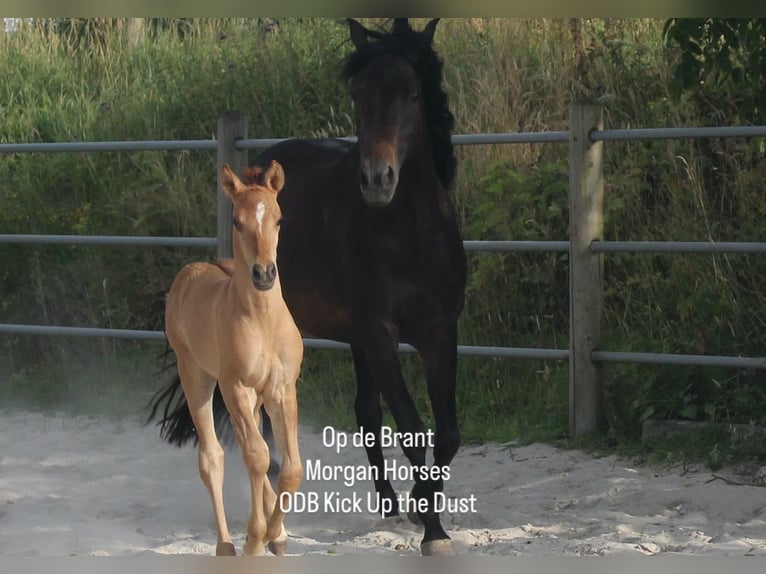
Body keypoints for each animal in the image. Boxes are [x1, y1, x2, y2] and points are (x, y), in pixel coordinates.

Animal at [150, 161, 304, 556]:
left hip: (252, 398)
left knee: (252, 450)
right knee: (213, 457)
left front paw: (274, 534)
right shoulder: (233, 385)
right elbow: (257, 456)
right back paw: (227, 546)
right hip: (198, 378)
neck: (263, 321)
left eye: (279, 219)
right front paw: (255, 538)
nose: (264, 274)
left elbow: (289, 468)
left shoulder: (282, 389)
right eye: (237, 221)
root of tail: (185, 277)